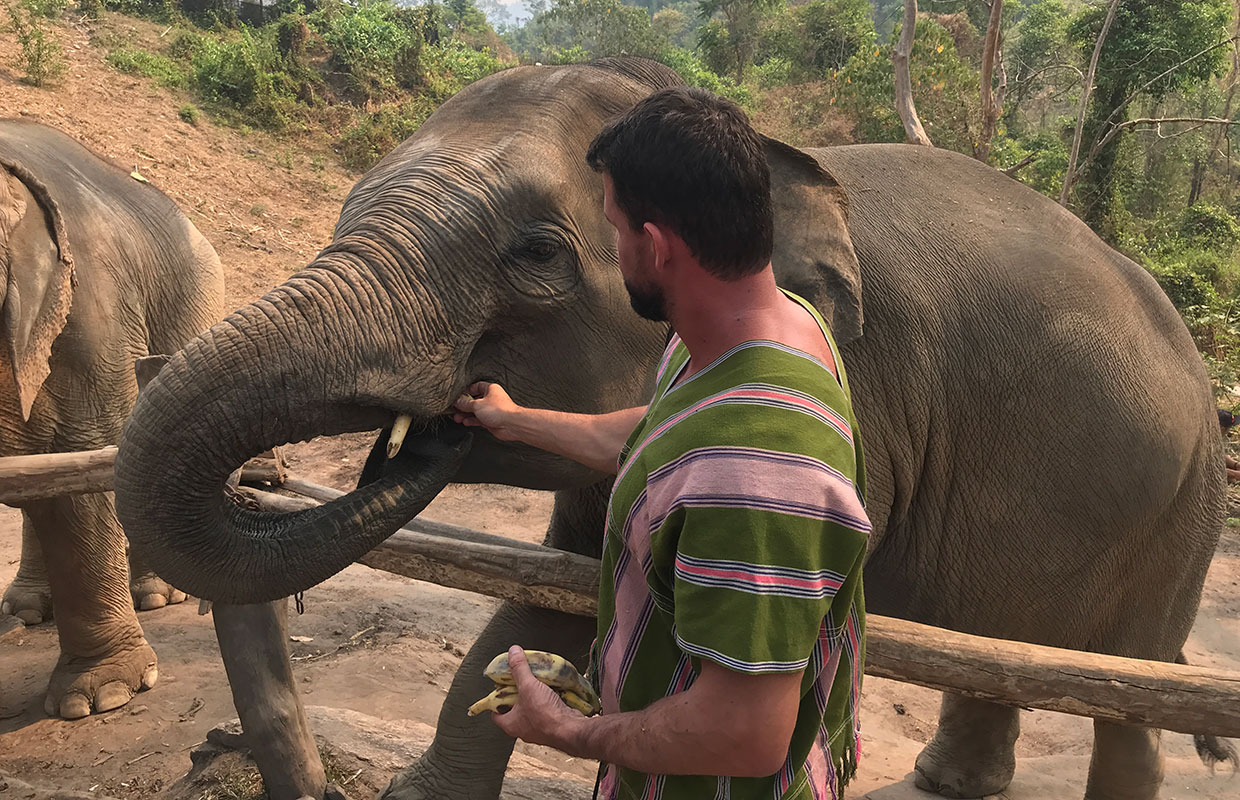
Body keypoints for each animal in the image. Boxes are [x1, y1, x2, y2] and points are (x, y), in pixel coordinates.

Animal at [0, 118, 225, 719]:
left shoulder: (88, 315)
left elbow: (82, 462)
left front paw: (101, 698)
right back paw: (27, 609)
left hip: (189, 303)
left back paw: (159, 594)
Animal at [116, 62, 1230, 798]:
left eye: (536, 252)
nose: (441, 421)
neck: (758, 148)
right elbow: (560, 588)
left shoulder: (848, 401)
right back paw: (949, 780)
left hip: (1184, 511)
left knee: (1128, 691)